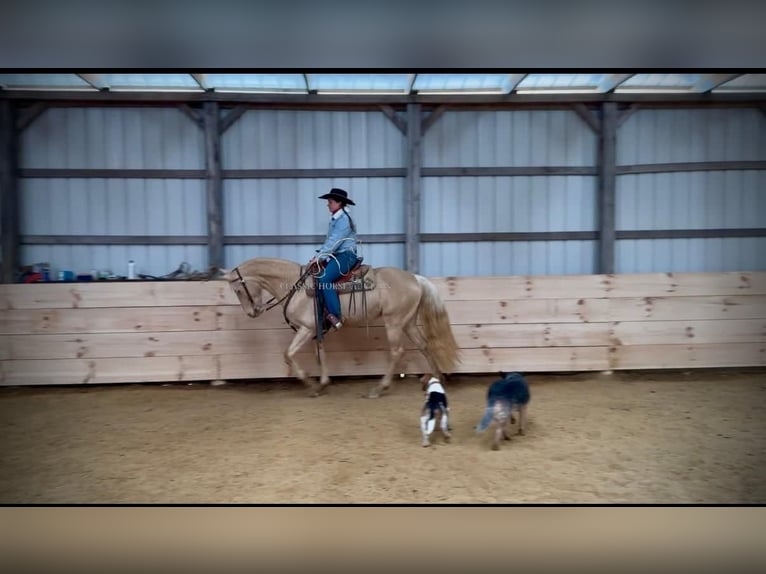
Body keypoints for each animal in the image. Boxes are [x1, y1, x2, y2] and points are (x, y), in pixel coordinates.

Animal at [225, 258, 460, 398]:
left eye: (238, 290)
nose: (252, 312)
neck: (296, 286)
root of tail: (415, 279)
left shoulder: (306, 329)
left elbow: (288, 354)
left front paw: (310, 384)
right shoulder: (316, 330)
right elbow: (322, 355)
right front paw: (322, 383)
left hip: (394, 322)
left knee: (397, 352)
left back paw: (380, 388)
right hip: (408, 322)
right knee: (424, 345)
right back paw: (434, 379)